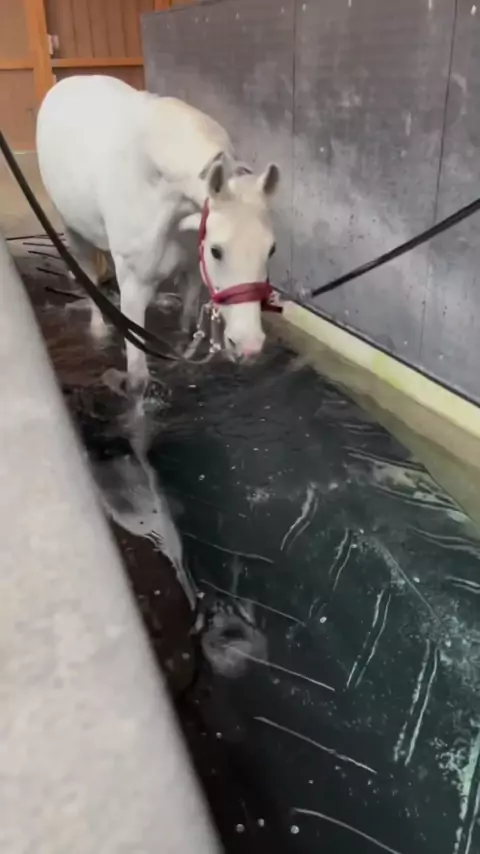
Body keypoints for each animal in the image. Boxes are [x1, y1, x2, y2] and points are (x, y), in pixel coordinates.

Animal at [36, 75, 281, 393]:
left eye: (271, 249)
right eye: (216, 250)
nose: (249, 346)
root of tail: (63, 84)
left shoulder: (192, 274)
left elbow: (185, 330)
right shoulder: (134, 284)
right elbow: (138, 378)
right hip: (72, 229)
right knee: (87, 275)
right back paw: (99, 329)